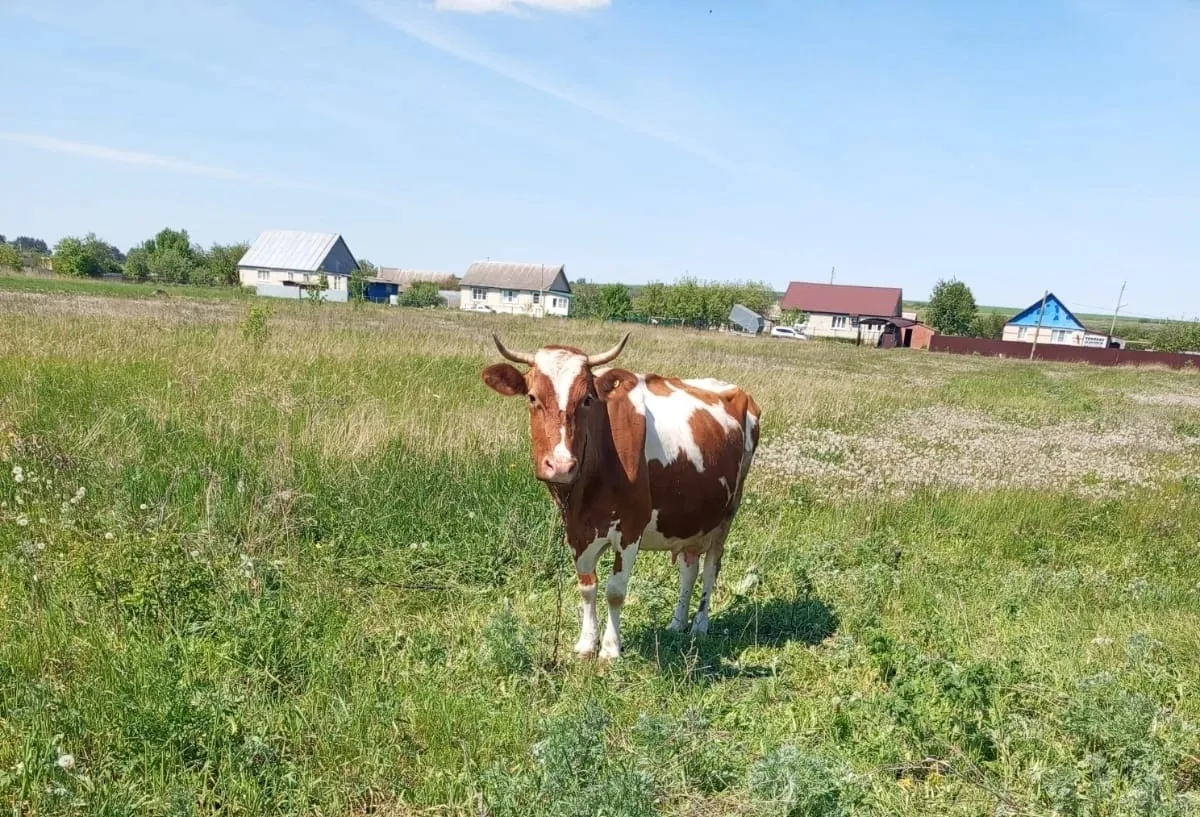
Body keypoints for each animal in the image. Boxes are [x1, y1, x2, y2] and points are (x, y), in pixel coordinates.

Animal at [481, 332, 761, 660]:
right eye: (532, 398)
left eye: (586, 399)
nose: (561, 465)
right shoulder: (577, 531)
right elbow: (587, 586)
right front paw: (587, 643)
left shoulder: (630, 528)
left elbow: (615, 591)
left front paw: (611, 649)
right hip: (689, 520)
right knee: (689, 569)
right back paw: (677, 623)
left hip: (725, 517)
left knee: (710, 569)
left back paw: (699, 627)